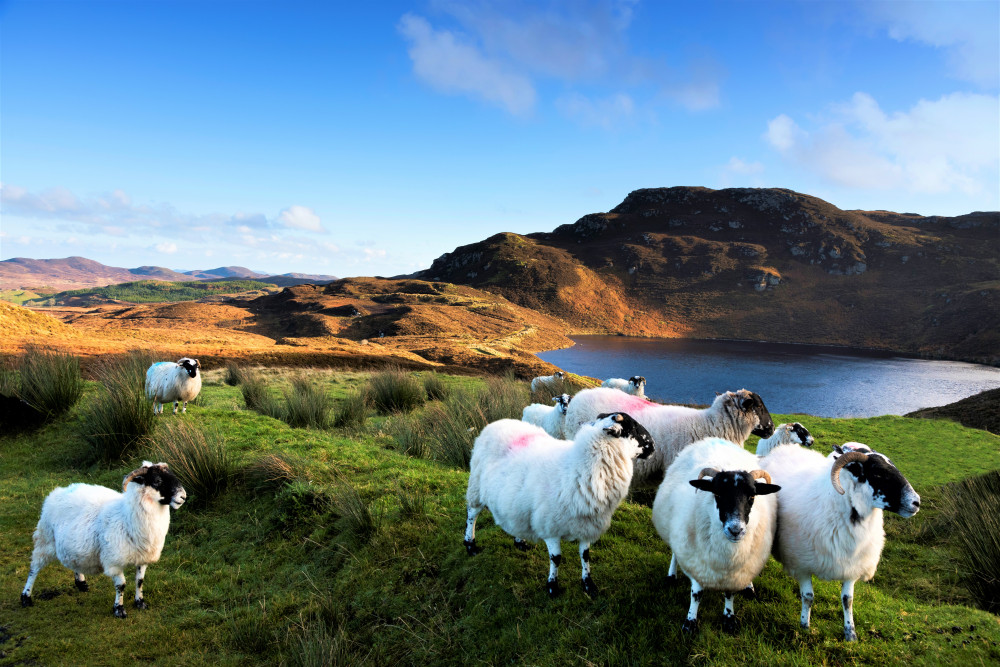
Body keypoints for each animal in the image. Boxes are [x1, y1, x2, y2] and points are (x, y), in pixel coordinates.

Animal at [462, 414, 656, 596]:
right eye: (633, 427)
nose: (654, 446)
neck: (580, 468)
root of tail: (495, 423)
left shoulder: (587, 523)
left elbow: (585, 555)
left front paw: (588, 584)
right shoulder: (550, 526)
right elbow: (556, 558)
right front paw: (552, 586)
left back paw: (520, 541)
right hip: (476, 487)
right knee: (472, 514)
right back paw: (470, 545)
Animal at [652, 440, 784, 636]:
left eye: (752, 496)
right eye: (718, 494)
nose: (735, 530)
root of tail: (711, 439)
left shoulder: (734, 573)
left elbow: (730, 593)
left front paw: (729, 618)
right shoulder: (697, 561)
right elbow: (696, 594)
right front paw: (690, 622)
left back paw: (749, 587)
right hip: (674, 529)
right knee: (676, 552)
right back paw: (671, 575)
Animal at [756, 440, 920, 640]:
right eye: (878, 473)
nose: (916, 502)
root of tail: (784, 448)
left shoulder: (852, 565)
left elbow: (847, 600)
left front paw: (850, 633)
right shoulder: (802, 563)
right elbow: (808, 597)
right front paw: (804, 627)